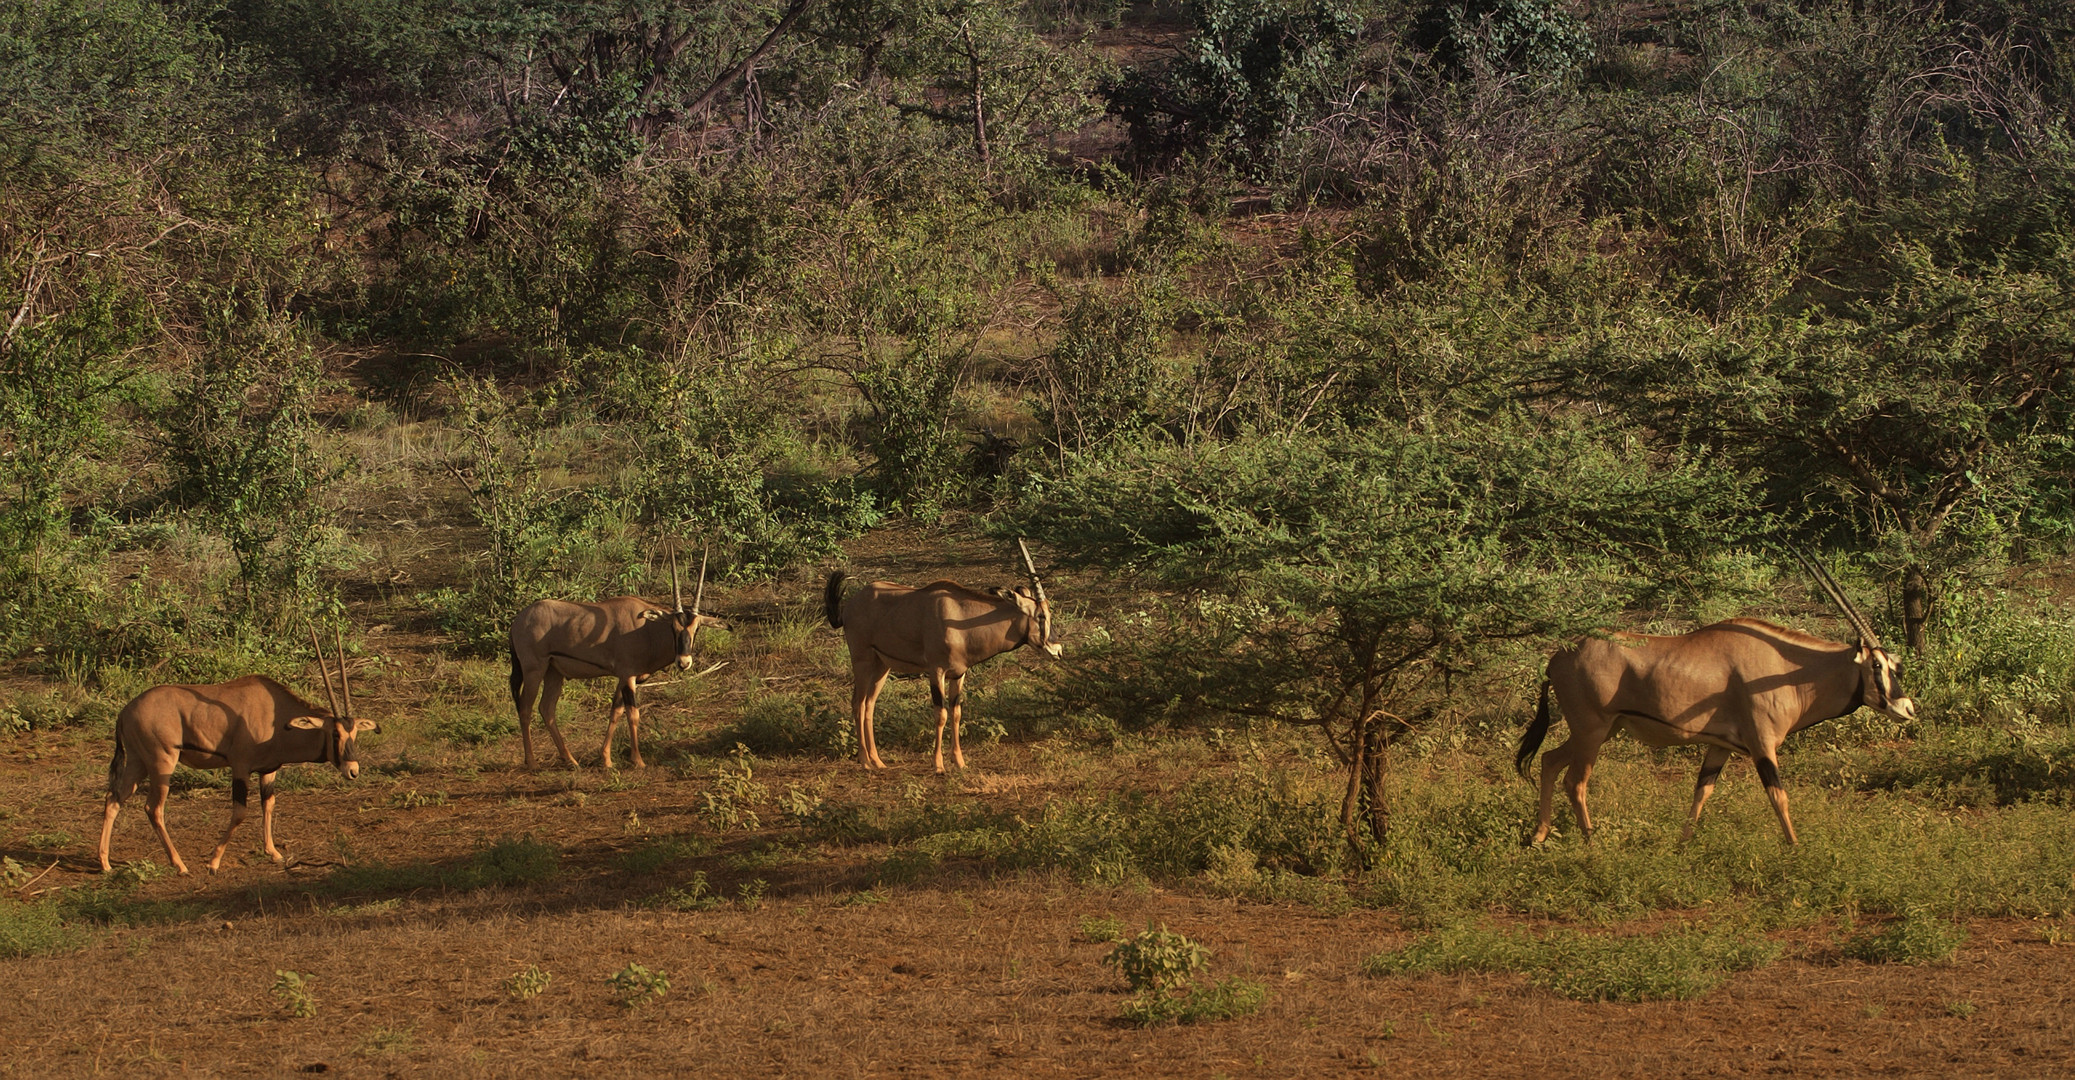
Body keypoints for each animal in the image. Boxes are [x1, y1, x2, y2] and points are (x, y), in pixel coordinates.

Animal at [97, 627, 377, 872]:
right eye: (335, 733)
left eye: (354, 733)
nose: (353, 770)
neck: (278, 717)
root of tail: (125, 711)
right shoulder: (240, 767)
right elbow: (240, 812)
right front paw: (213, 862)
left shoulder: (269, 770)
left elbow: (269, 804)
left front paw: (273, 852)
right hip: (162, 762)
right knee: (153, 809)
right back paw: (179, 865)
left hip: (138, 762)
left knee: (114, 798)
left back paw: (105, 862)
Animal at [508, 548, 722, 768]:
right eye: (673, 627)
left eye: (697, 628)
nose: (684, 662)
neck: (646, 629)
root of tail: (517, 621)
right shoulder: (628, 676)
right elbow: (633, 714)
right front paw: (638, 760)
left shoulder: (624, 678)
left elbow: (616, 712)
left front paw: (606, 759)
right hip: (534, 670)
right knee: (525, 708)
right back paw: (532, 762)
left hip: (554, 672)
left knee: (547, 709)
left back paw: (571, 760)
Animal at [821, 535, 1062, 772]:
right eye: (1041, 616)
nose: (1057, 650)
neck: (961, 617)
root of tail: (849, 606)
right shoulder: (936, 671)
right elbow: (941, 714)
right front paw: (938, 765)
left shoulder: (959, 674)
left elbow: (956, 714)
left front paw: (959, 761)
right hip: (862, 660)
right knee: (858, 703)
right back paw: (864, 761)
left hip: (882, 665)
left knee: (870, 704)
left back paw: (877, 761)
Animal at [1518, 552, 1917, 847]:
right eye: (1877, 665)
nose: (1907, 708)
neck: (1788, 669)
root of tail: (1557, 657)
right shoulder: (1761, 744)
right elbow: (1778, 795)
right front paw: (1795, 847)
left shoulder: (1720, 746)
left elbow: (1702, 792)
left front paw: (1683, 844)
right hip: (1593, 731)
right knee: (1575, 781)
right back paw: (1591, 840)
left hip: (1602, 731)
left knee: (1550, 761)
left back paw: (1539, 835)